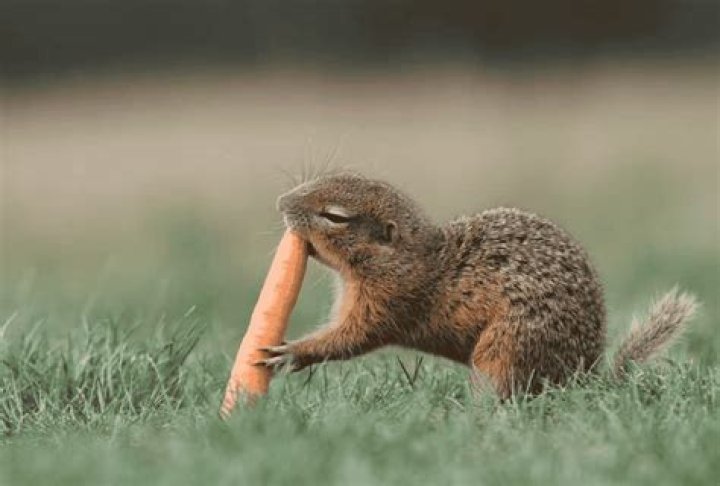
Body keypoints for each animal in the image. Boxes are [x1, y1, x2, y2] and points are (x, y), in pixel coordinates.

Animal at [258, 172, 698, 398]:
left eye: (335, 216)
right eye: (325, 178)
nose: (280, 203)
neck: (411, 257)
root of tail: (582, 376)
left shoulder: (389, 302)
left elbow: (351, 338)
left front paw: (292, 352)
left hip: (504, 350)